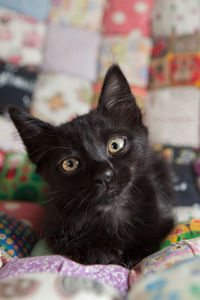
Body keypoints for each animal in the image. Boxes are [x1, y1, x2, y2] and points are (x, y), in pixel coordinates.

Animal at [8, 65, 173, 268]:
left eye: (115, 144)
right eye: (70, 164)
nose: (104, 174)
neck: (112, 210)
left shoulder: (163, 214)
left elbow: (152, 236)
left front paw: (132, 255)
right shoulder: (54, 224)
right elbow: (72, 245)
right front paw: (98, 253)